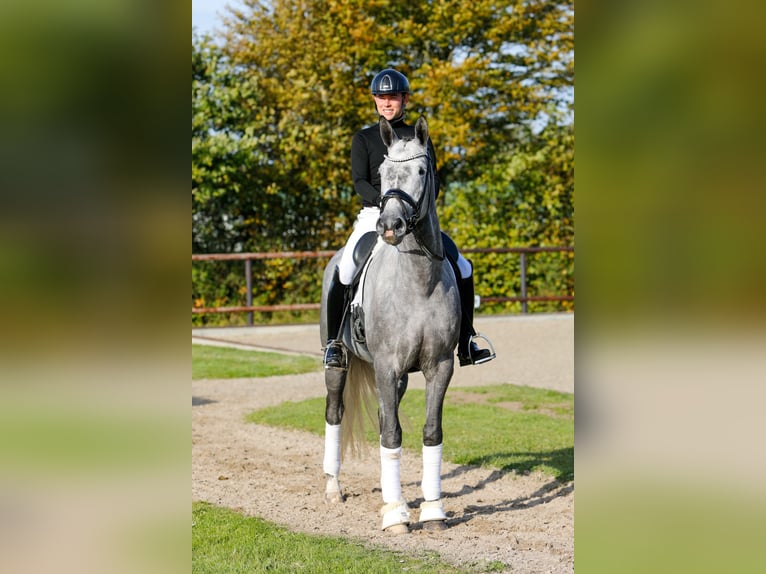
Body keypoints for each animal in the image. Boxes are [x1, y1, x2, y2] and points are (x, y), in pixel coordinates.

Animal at [320, 117, 462, 536]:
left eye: (422, 171)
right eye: (382, 174)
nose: (390, 225)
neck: (417, 281)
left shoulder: (439, 366)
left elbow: (430, 432)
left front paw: (432, 510)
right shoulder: (386, 365)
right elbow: (392, 434)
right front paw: (396, 516)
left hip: (397, 379)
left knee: (387, 416)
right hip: (341, 364)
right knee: (335, 411)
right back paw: (334, 489)